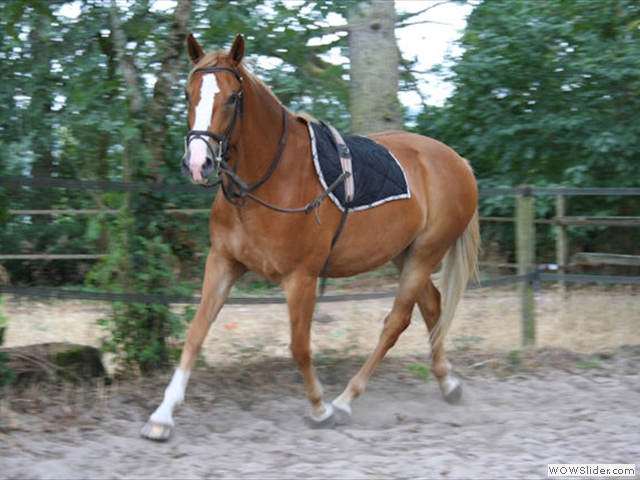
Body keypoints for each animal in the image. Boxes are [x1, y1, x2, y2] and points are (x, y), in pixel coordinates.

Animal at [141, 31, 480, 440]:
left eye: (233, 97)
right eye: (188, 93)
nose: (197, 163)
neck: (269, 181)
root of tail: (457, 161)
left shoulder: (301, 279)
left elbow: (299, 347)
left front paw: (319, 408)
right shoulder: (223, 263)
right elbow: (196, 332)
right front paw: (162, 415)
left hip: (425, 254)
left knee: (395, 322)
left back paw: (346, 400)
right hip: (406, 253)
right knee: (431, 306)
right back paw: (447, 382)